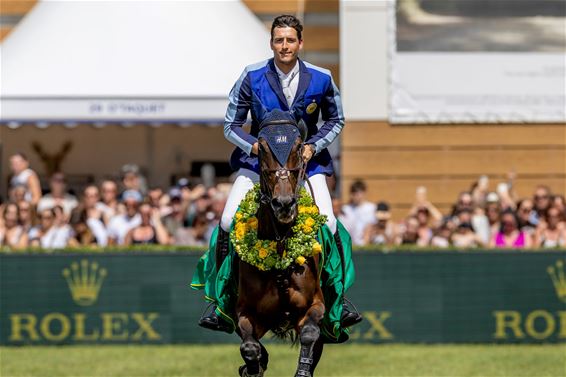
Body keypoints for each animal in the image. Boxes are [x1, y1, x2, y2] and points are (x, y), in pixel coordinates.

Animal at [237, 114, 326, 376]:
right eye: (262, 148)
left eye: (298, 147)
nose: (284, 204)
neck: (280, 246)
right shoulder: (244, 312)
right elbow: (250, 348)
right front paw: (252, 367)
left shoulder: (315, 305)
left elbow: (310, 334)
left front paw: (302, 370)